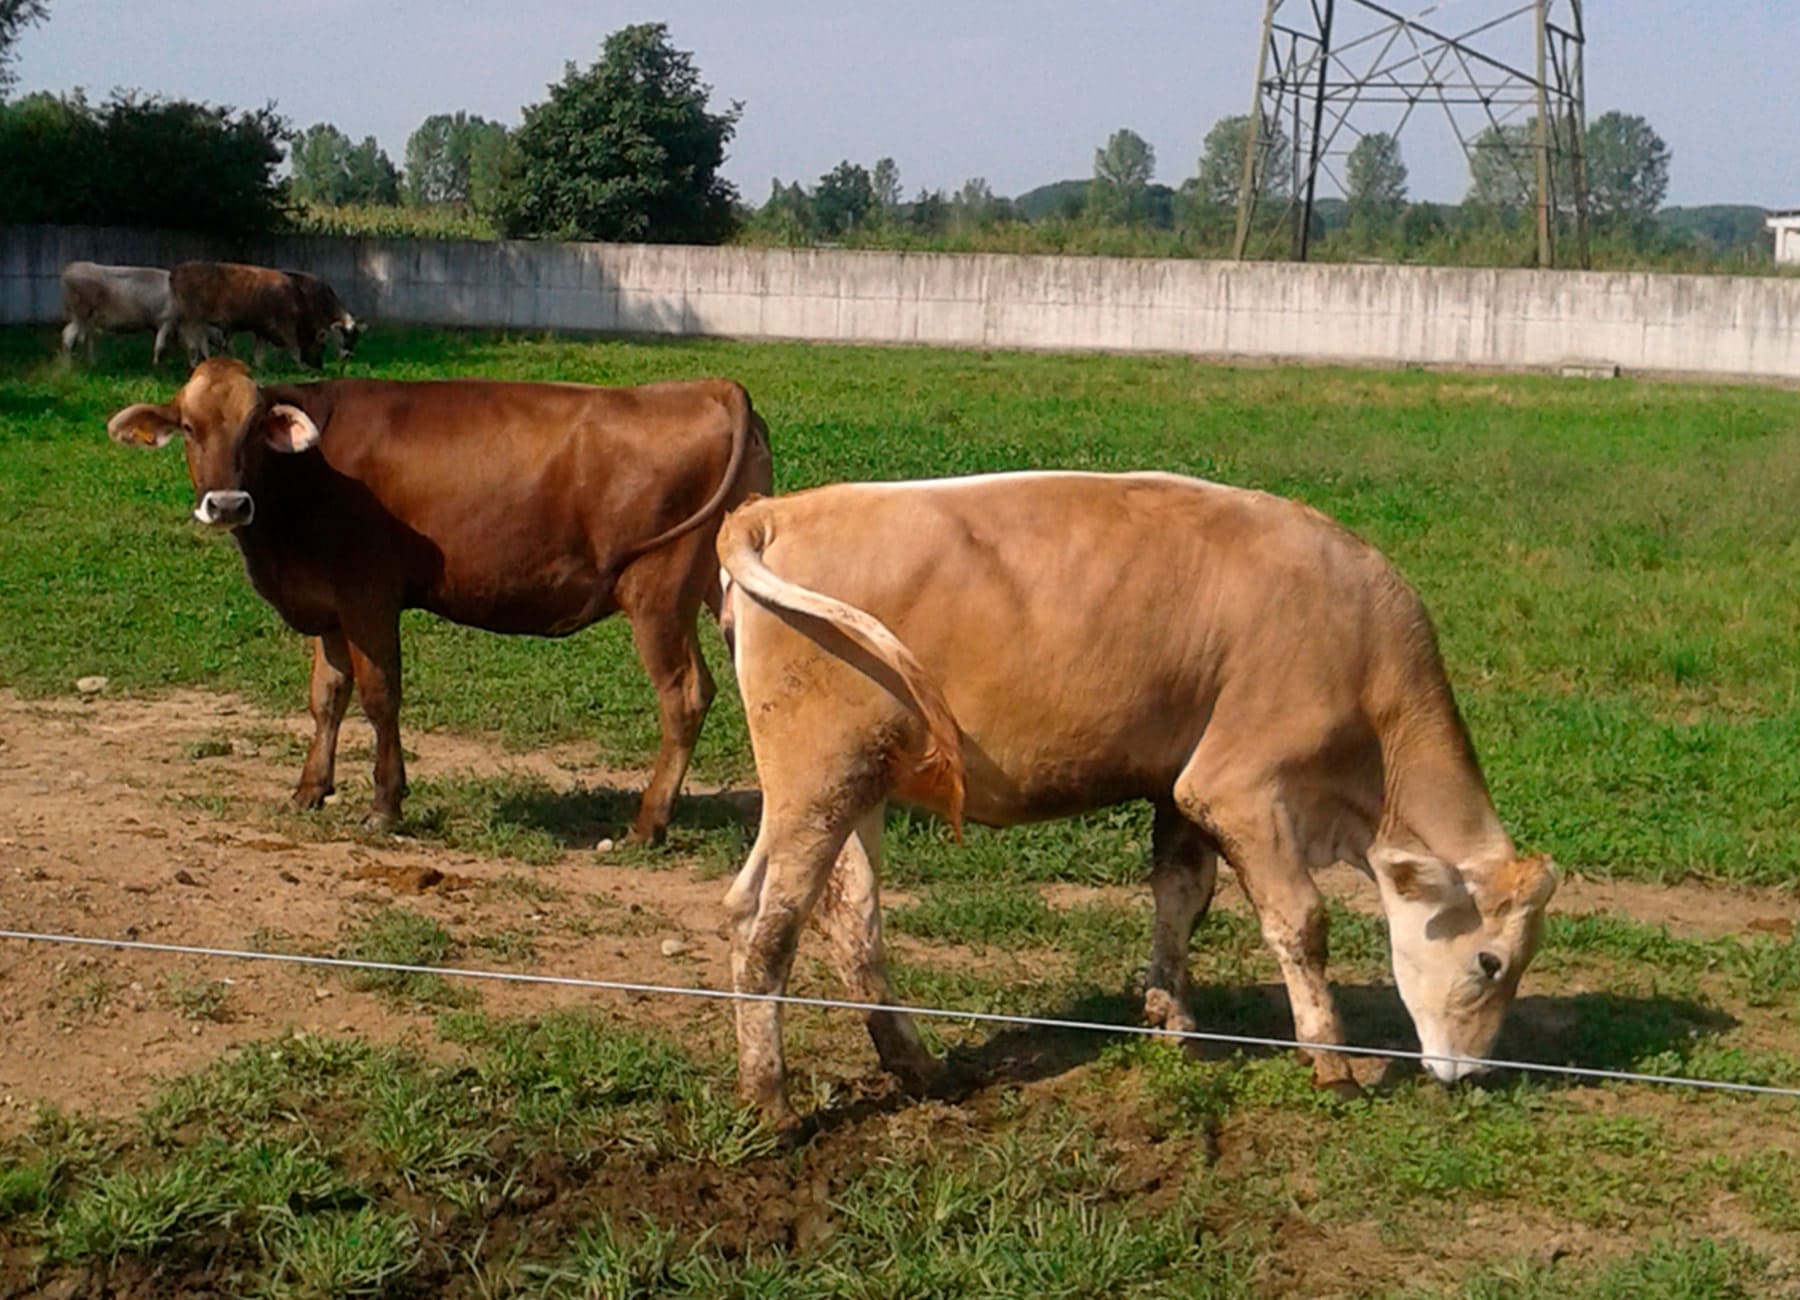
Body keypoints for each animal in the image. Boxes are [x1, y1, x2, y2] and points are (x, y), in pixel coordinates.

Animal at [102, 356, 770, 839]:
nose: (227, 505)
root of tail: (707, 387)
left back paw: (647, 823)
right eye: (190, 428)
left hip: (658, 593)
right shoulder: (329, 605)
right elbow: (326, 697)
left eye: (251, 428)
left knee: (684, 695)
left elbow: (379, 697)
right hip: (724, 589)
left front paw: (385, 805)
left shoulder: (368, 594)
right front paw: (309, 790)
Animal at [170, 259, 363, 367]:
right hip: (192, 319)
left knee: (200, 342)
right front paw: (300, 367)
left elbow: (259, 352)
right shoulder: (286, 326)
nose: (349, 358)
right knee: (192, 343)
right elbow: (293, 348)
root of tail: (178, 270)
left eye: (356, 339)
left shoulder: (262, 329)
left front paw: (260, 367)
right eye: (346, 337)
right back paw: (194, 364)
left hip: (199, 322)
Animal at [716, 471, 1562, 1116]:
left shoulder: (1177, 788)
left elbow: (1181, 897)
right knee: (769, 933)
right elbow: (1301, 921)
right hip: (820, 783)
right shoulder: (1237, 788)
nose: (1472, 1072)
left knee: (830, 920)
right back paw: (771, 1104)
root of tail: (776, 512)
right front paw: (1332, 1061)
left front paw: (1171, 1017)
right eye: (1490, 962)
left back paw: (918, 1068)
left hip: (852, 787)